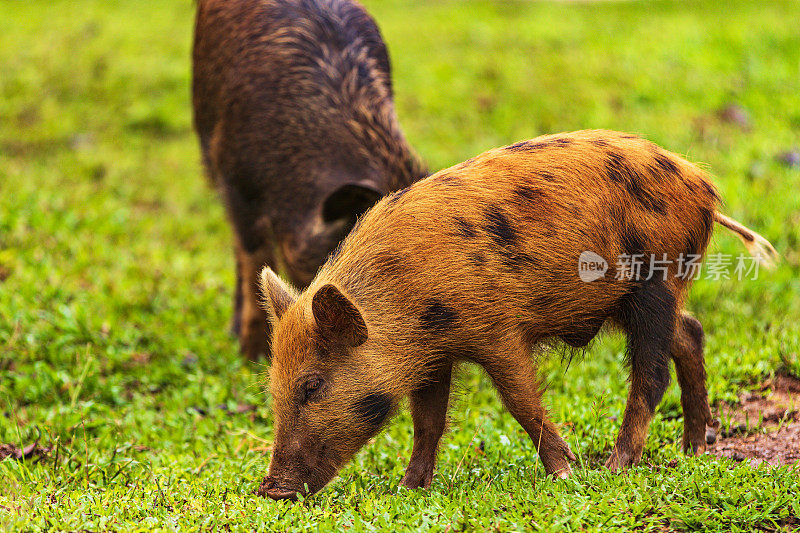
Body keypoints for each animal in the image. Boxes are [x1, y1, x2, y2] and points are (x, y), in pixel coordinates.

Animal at [255, 130, 776, 498]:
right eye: (274, 386)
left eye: (312, 385)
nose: (272, 490)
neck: (404, 300)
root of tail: (703, 187)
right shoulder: (433, 353)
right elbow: (428, 420)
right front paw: (408, 489)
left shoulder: (497, 331)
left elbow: (520, 401)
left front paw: (566, 475)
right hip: (643, 297)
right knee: (690, 332)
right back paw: (693, 450)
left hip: (654, 281)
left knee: (652, 372)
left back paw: (617, 465)